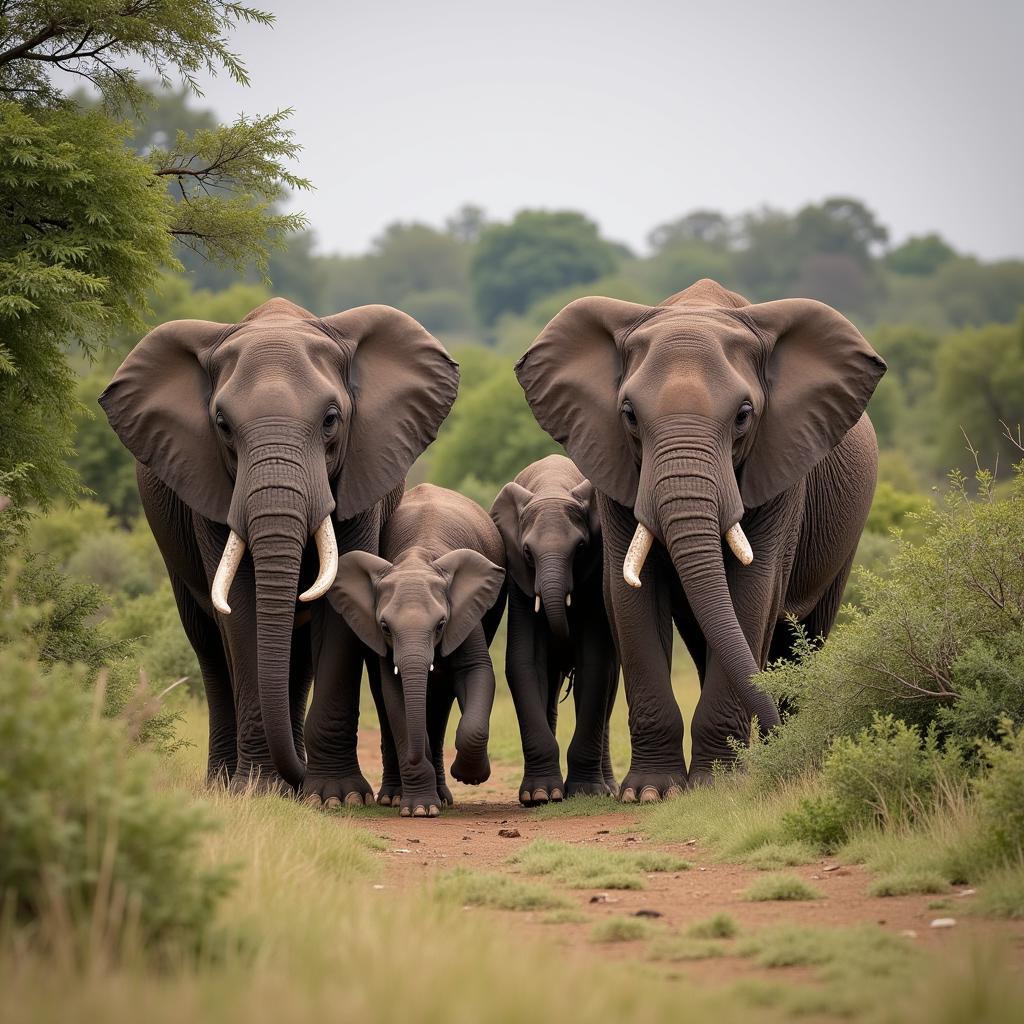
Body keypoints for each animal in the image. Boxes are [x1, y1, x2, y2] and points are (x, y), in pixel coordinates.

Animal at [101, 299, 458, 794]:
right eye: (222, 425)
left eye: (331, 420)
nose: (296, 777)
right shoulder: (209, 487)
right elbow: (241, 606)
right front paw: (258, 789)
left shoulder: (363, 471)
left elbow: (339, 605)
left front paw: (335, 795)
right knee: (209, 646)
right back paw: (225, 783)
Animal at [329, 483, 505, 819]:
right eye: (385, 627)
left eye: (441, 624)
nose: (414, 758)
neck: (417, 558)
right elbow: (395, 696)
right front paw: (420, 809)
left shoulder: (465, 612)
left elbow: (477, 672)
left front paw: (470, 776)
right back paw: (395, 797)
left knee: (440, 702)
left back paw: (442, 794)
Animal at [491, 452, 618, 802]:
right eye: (527, 552)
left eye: (580, 548)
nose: (563, 639)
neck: (552, 485)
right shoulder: (519, 584)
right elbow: (523, 663)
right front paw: (540, 795)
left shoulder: (594, 579)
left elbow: (595, 665)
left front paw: (587, 793)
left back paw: (609, 788)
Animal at [516, 280, 884, 798]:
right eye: (629, 414)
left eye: (744, 415)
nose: (803, 756)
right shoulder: (614, 463)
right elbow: (632, 595)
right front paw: (652, 791)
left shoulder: (781, 461)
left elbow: (753, 590)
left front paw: (717, 786)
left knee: (805, 633)